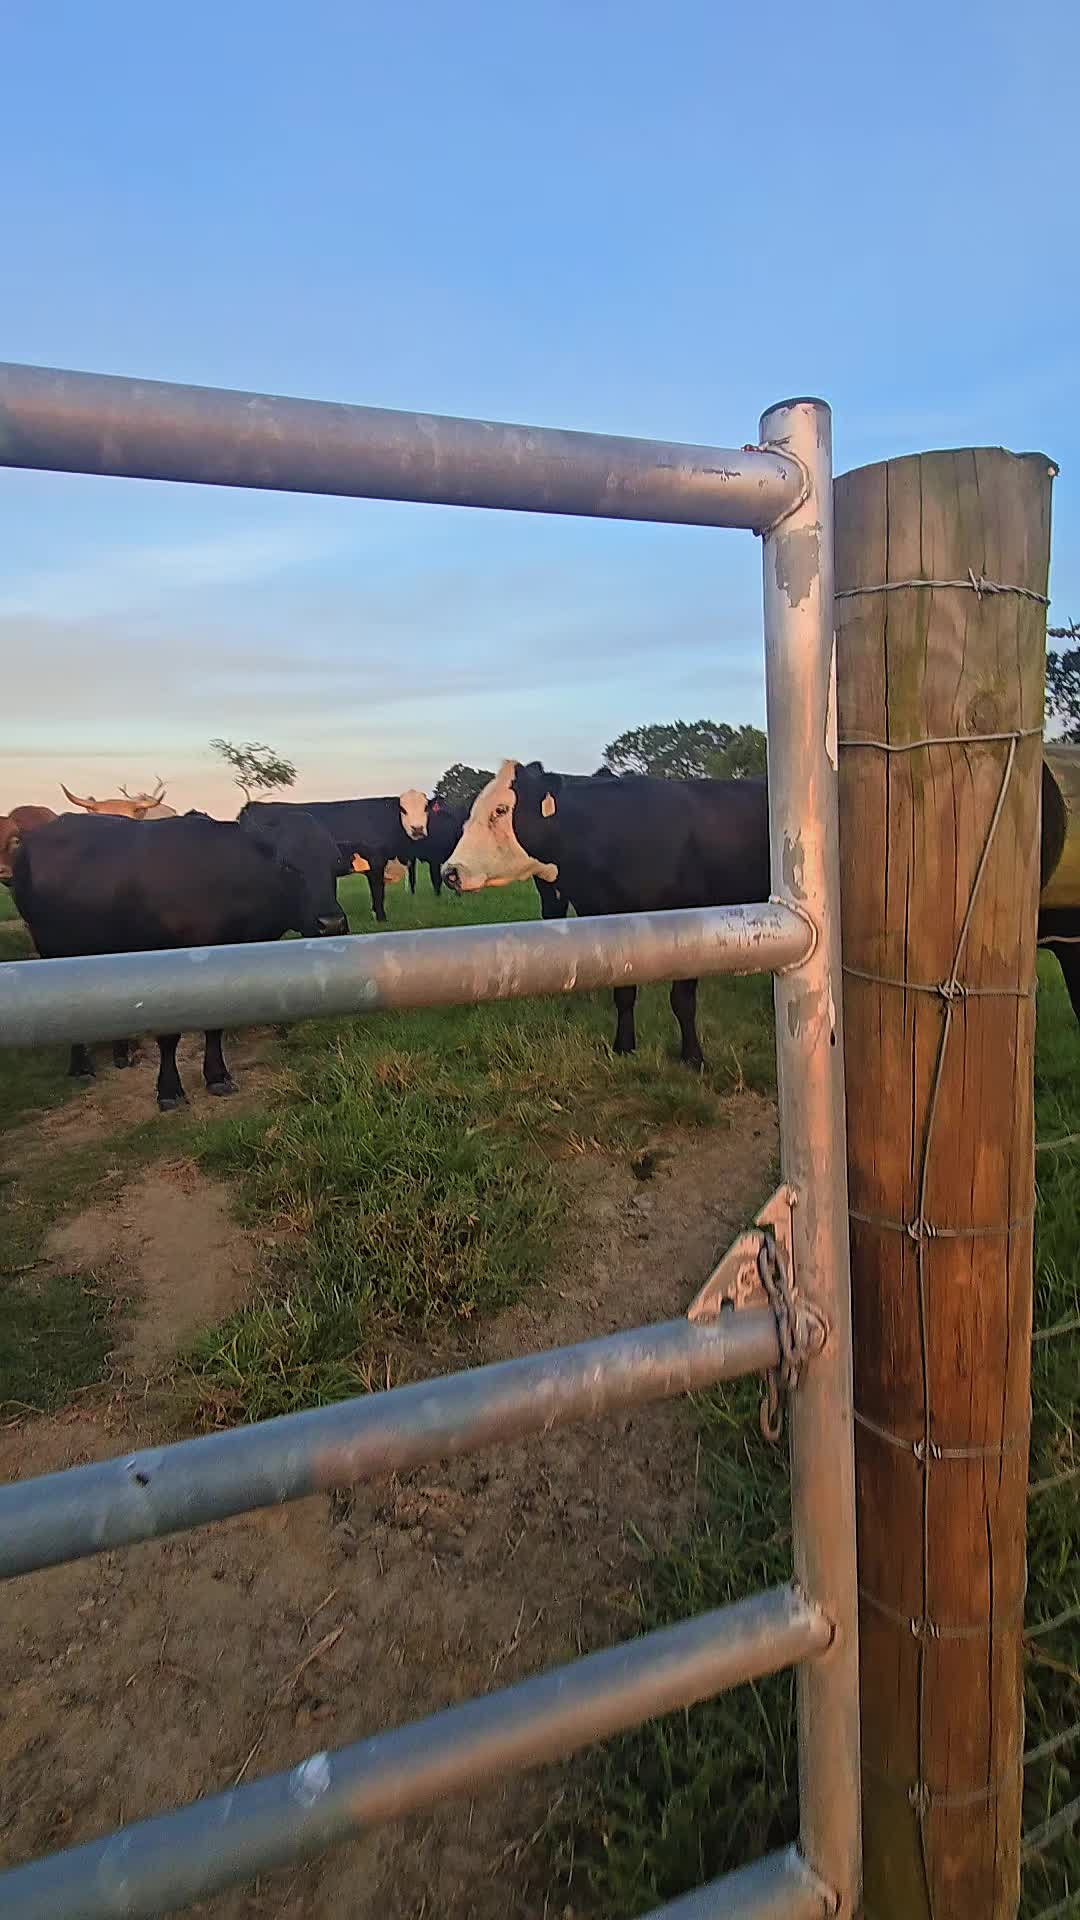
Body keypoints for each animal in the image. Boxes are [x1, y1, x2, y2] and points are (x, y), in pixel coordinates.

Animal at [11, 809, 348, 1111]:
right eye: (287, 865)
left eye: (335, 864)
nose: (331, 924)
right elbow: (169, 1036)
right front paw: (169, 1091)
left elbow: (215, 1027)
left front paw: (217, 1076)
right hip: (51, 948)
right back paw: (81, 1068)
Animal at [241, 792, 460, 922]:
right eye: (403, 809)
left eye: (425, 808)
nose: (417, 829)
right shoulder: (376, 861)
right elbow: (378, 891)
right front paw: (381, 917)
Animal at [442, 760, 770, 1068]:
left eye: (500, 809)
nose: (451, 872)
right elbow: (623, 994)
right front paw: (623, 1046)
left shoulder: (689, 922)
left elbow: (682, 1000)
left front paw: (692, 1056)